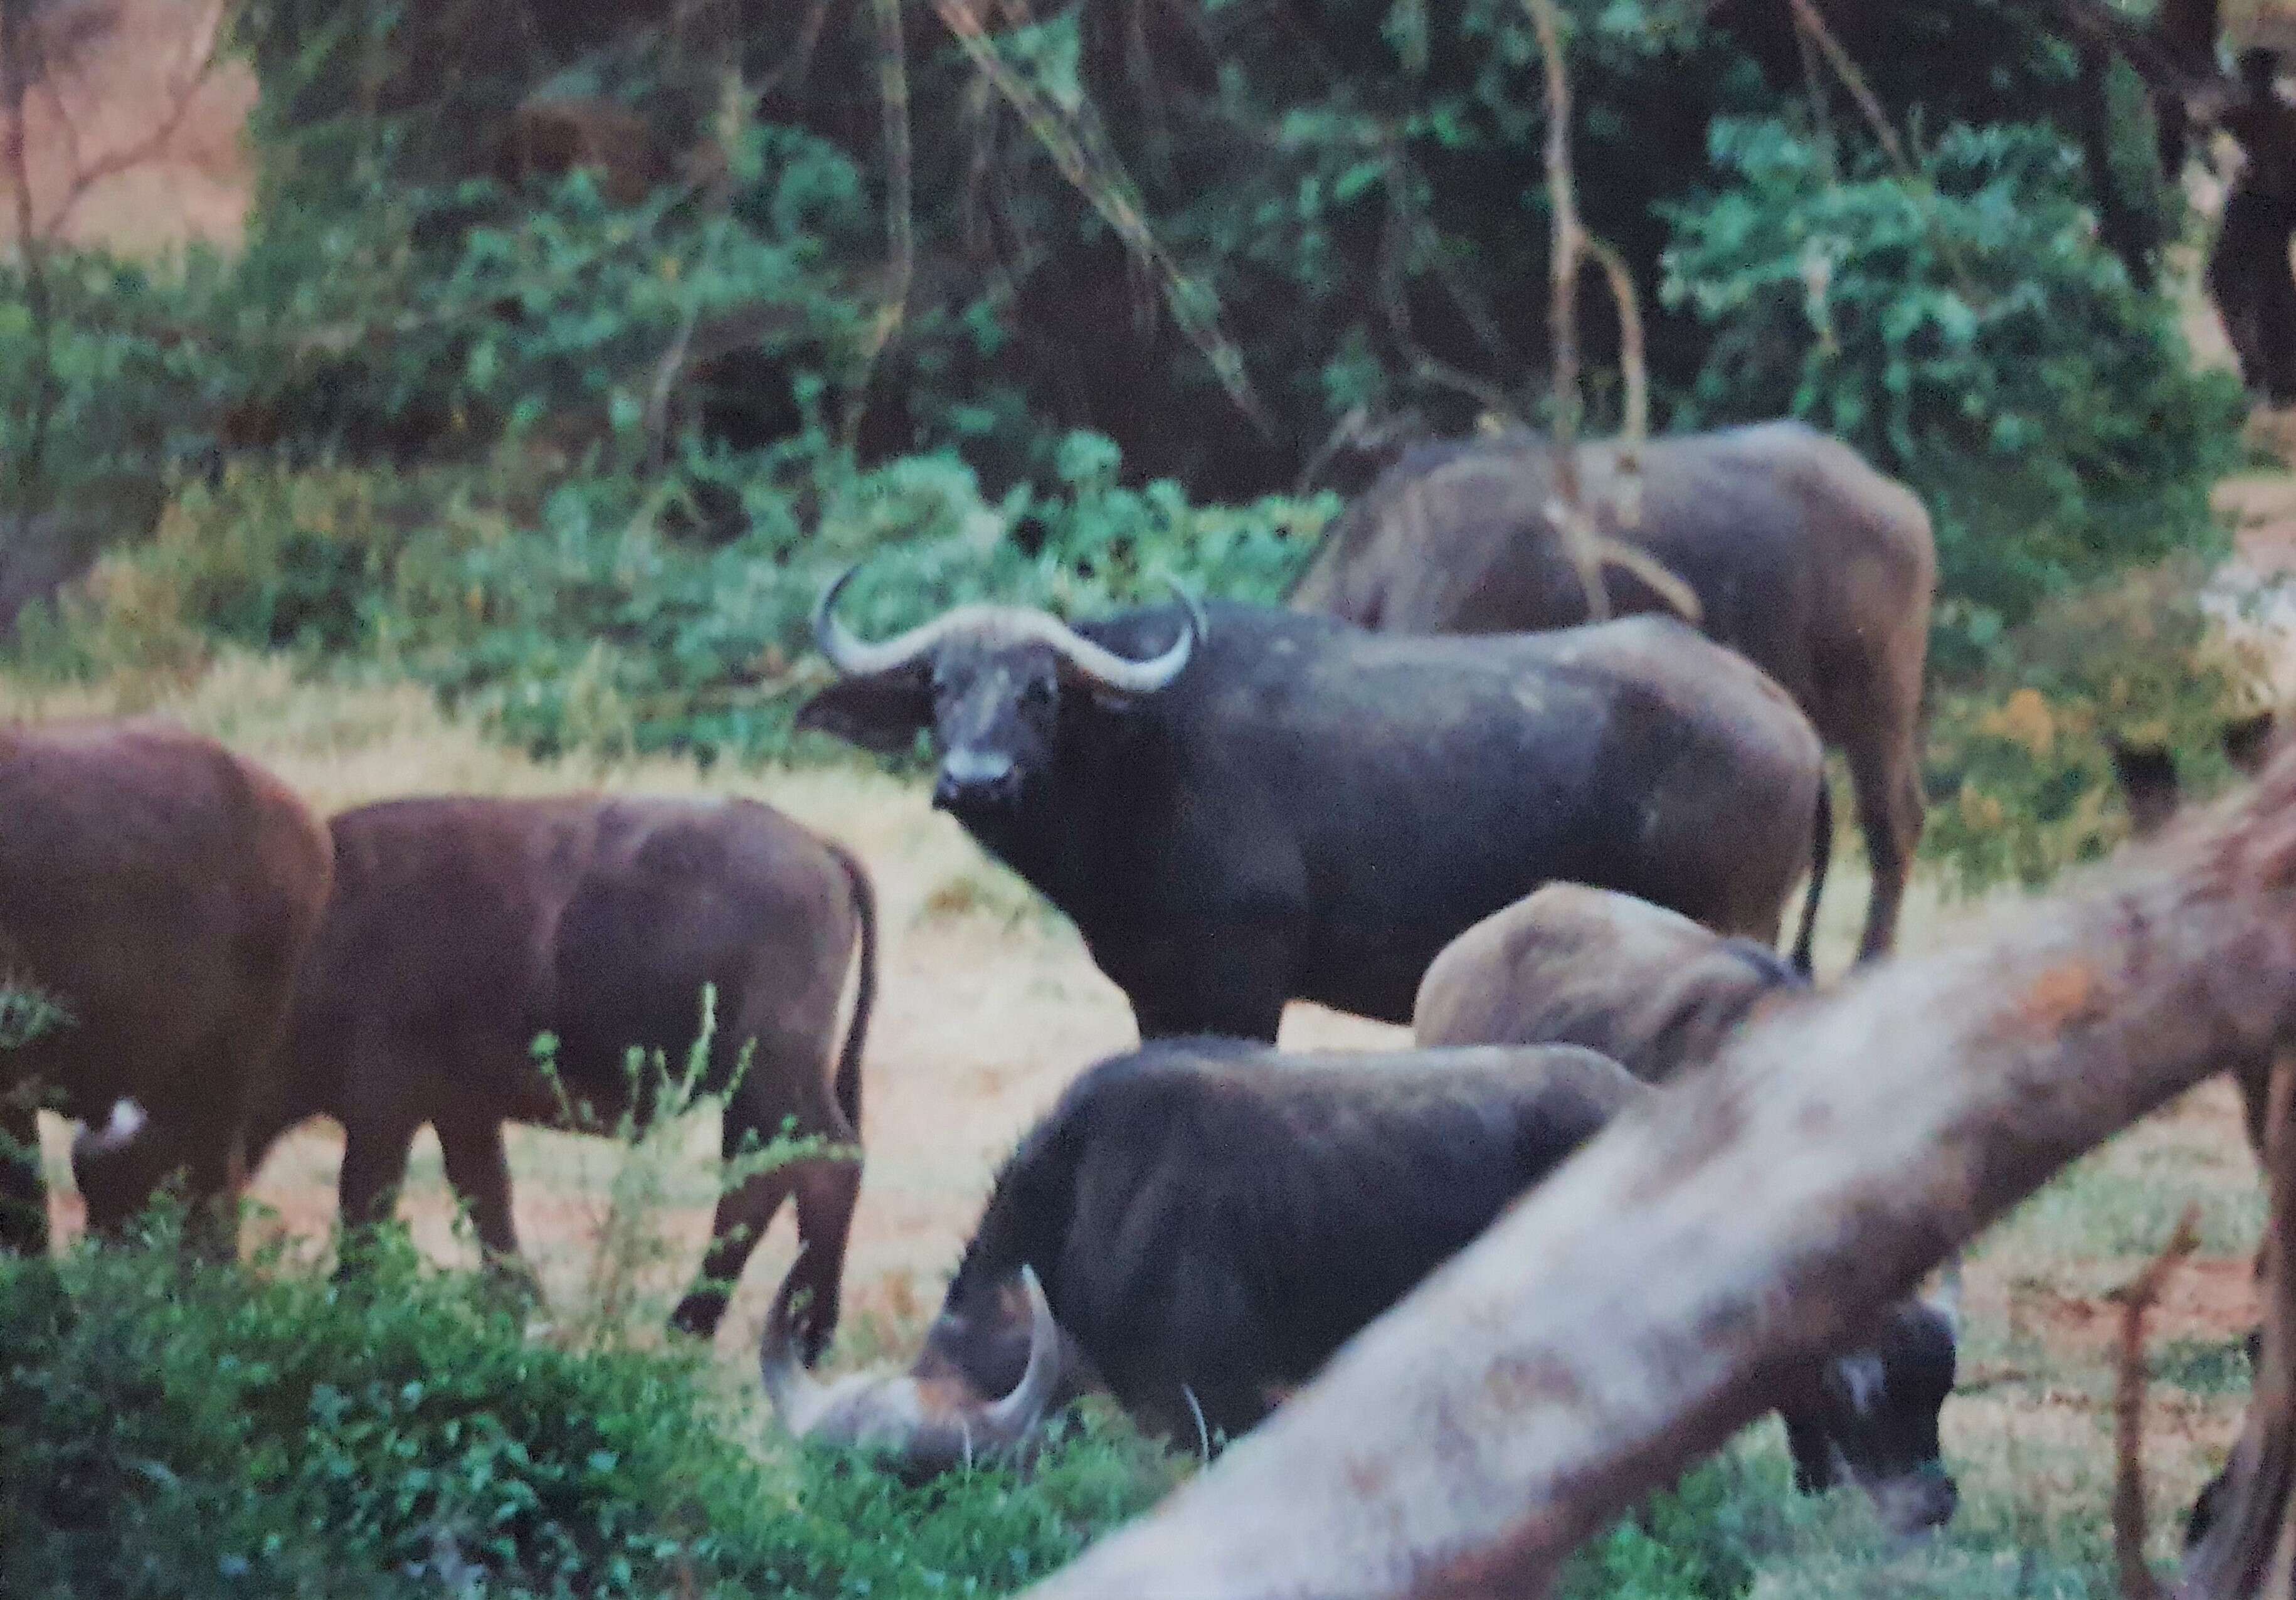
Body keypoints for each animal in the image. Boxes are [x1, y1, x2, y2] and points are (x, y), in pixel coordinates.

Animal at [249, 794, 877, 1350]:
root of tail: (817, 846)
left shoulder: (382, 1114)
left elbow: (365, 1216)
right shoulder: (460, 1113)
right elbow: (487, 1202)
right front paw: (526, 1315)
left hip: (775, 1074)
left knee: (825, 1163)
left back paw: (796, 1329)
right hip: (750, 1094)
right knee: (762, 1176)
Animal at [799, 571, 1818, 1037]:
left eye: (1041, 692)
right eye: (939, 686)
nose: (974, 779)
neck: (1143, 755)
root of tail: (1786, 717)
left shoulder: (1243, 981)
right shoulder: (1155, 992)